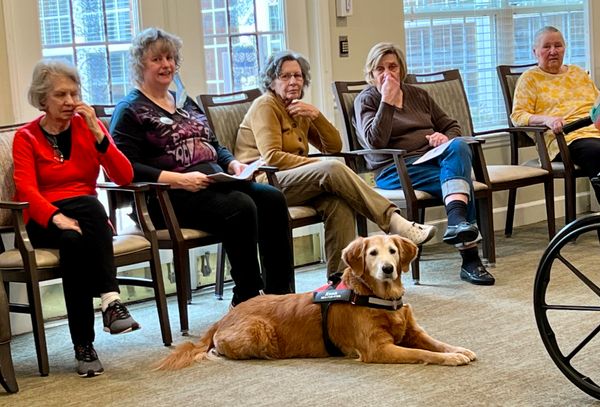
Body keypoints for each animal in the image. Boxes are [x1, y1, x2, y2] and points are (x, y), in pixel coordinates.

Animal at [156, 235, 476, 370]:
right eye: (372, 253)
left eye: (393, 251)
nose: (387, 269)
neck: (378, 296)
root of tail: (222, 319)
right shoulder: (377, 349)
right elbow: (424, 353)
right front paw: (451, 359)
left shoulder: (413, 331)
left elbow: (436, 343)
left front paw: (459, 350)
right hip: (258, 332)